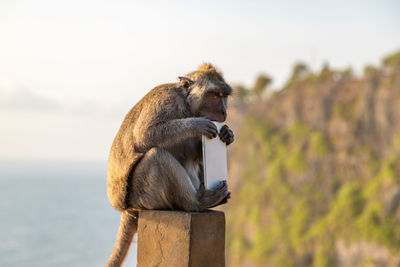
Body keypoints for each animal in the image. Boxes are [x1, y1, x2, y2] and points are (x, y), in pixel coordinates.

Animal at [105, 63, 234, 266]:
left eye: (224, 96)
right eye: (215, 95)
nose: (224, 112)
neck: (186, 106)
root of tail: (127, 209)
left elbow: (192, 153)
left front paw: (228, 135)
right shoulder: (166, 101)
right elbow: (144, 135)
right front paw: (196, 124)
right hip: (143, 196)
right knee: (156, 156)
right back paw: (197, 202)